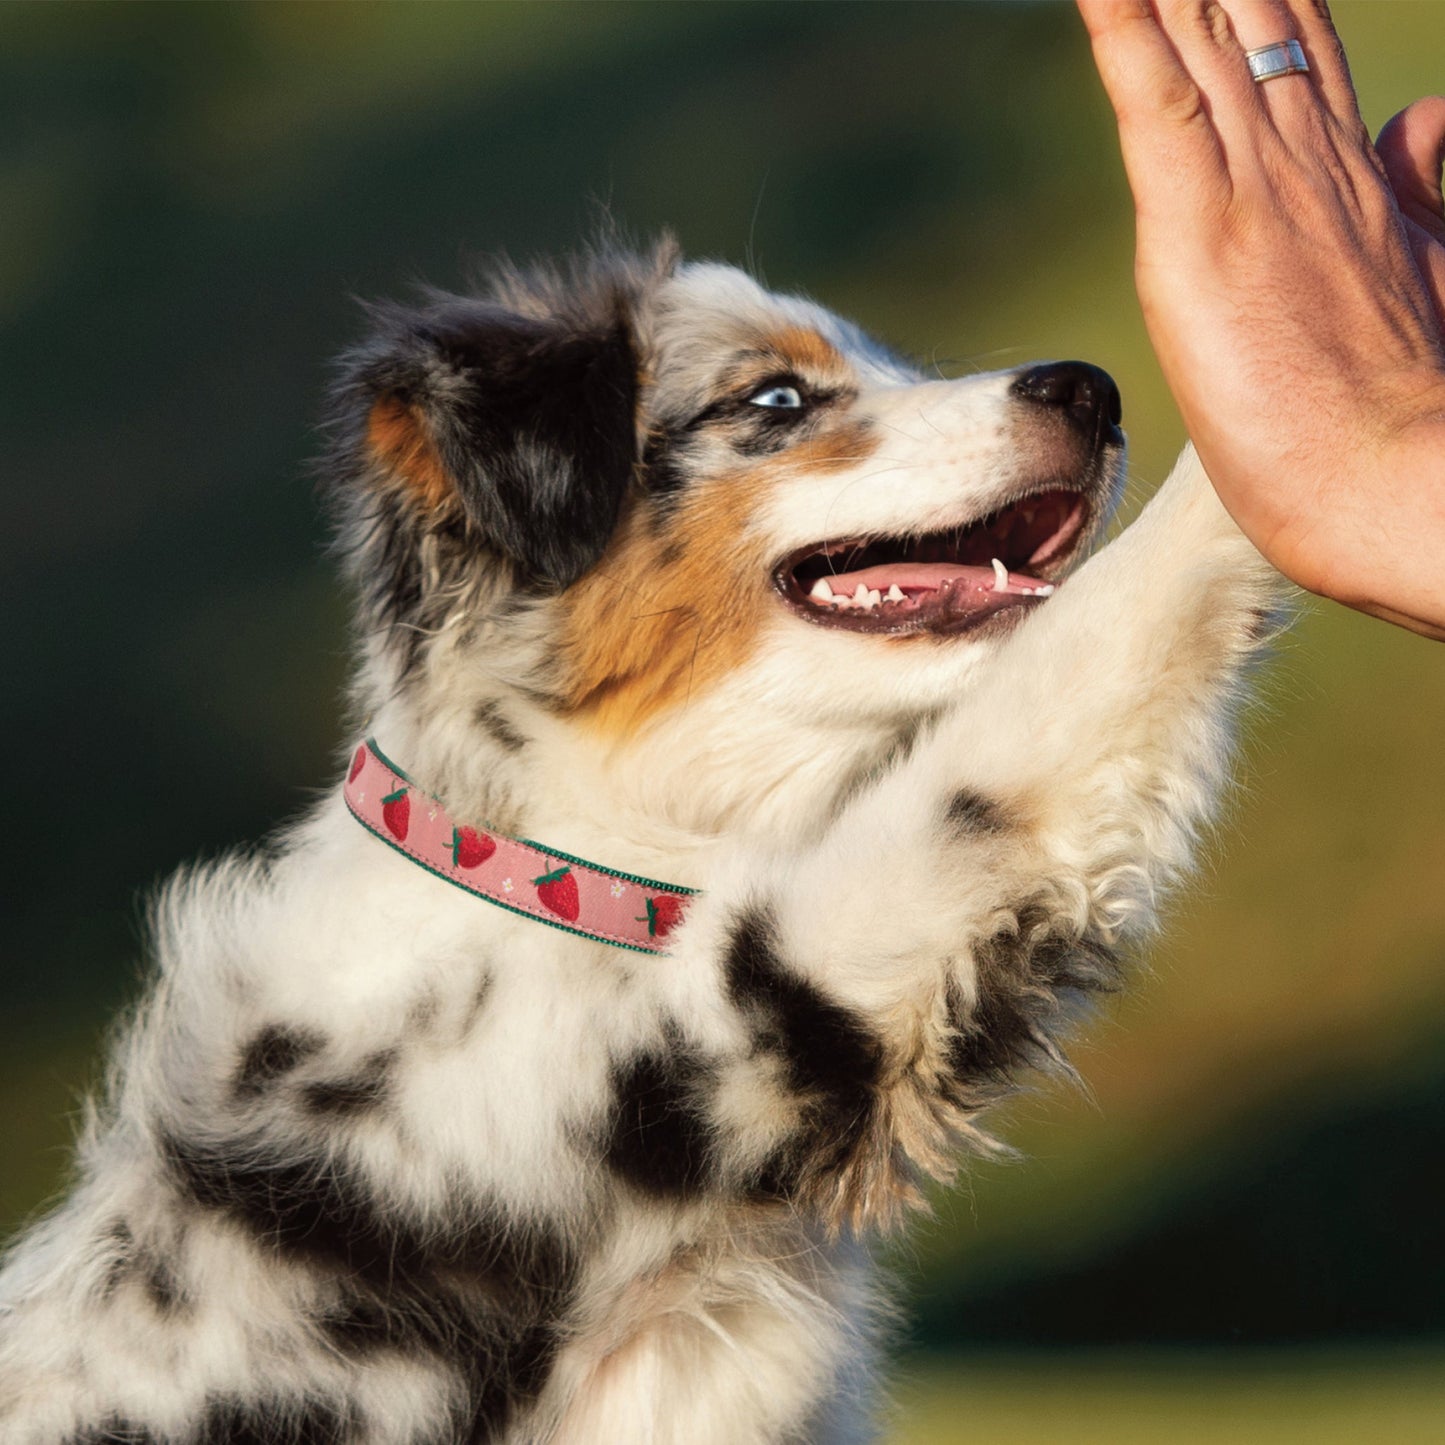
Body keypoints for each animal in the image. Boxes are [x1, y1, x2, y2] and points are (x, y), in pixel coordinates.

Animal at [2, 242, 1288, 1439]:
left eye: (897, 365)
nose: (1090, 389)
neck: (554, 860)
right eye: (775, 398)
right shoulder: (768, 992)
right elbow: (1065, 675)